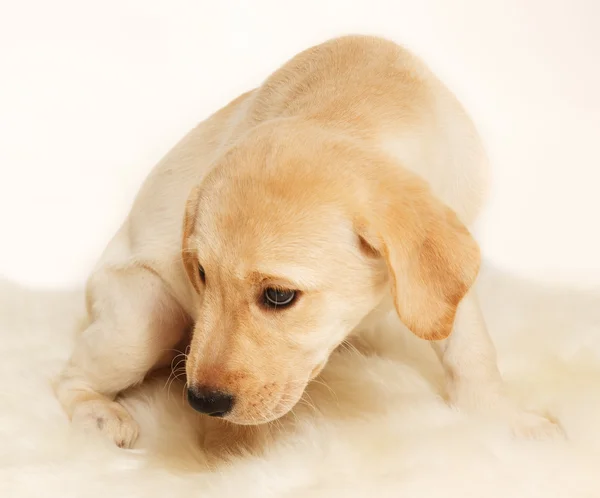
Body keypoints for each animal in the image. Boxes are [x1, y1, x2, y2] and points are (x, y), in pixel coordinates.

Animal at [54, 35, 560, 448]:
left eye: (279, 296)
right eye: (200, 275)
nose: (201, 402)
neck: (350, 109)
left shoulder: (448, 272)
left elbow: (472, 351)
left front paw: (504, 421)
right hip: (143, 319)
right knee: (67, 378)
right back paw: (98, 415)